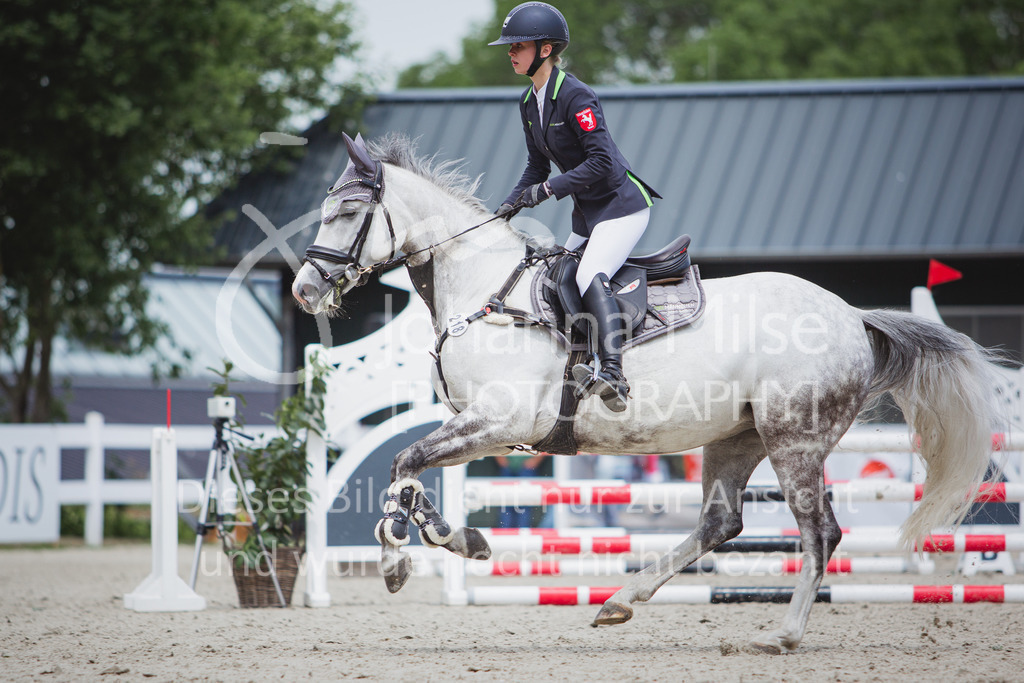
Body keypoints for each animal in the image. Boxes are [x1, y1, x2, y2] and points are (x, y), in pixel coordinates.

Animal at [291, 132, 1002, 653]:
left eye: (348, 212)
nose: (303, 290)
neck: (482, 288)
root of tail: (852, 315)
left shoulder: (500, 421)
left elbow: (405, 461)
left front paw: (401, 557)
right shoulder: (480, 426)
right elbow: (407, 471)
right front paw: (447, 540)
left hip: (794, 439)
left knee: (818, 532)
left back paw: (783, 634)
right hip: (738, 437)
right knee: (722, 522)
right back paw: (619, 602)